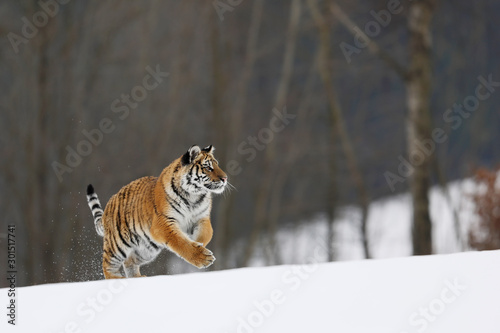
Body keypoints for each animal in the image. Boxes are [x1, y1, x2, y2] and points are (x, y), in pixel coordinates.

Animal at [87, 145, 228, 278]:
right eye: (208, 167)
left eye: (217, 165)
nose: (225, 178)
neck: (193, 196)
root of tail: (110, 203)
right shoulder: (163, 222)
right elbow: (180, 242)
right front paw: (202, 257)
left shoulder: (201, 218)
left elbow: (206, 234)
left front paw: (198, 244)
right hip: (117, 244)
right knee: (108, 265)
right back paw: (118, 279)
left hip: (146, 249)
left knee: (129, 261)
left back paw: (138, 278)